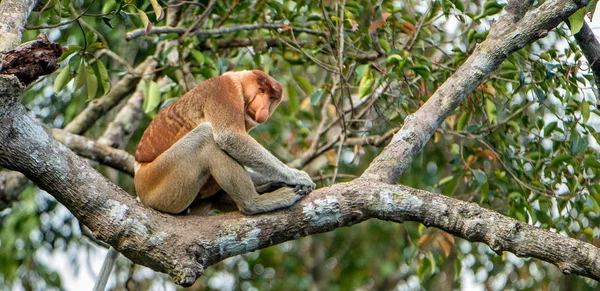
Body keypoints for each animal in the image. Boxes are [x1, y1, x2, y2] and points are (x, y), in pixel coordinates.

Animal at [92, 70, 314, 291]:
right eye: (261, 90)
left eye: (272, 97)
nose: (264, 108)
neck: (240, 85)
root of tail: (139, 185)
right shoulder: (222, 91)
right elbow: (230, 137)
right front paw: (296, 176)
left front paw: (277, 181)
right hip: (159, 182)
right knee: (206, 138)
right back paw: (256, 203)